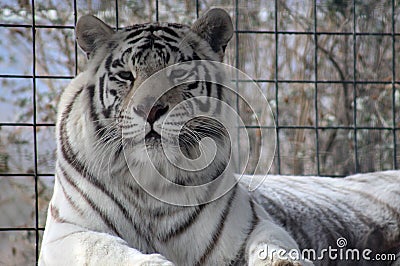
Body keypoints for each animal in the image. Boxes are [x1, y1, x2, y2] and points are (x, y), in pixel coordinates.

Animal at [38, 7, 400, 264]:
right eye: (126, 75)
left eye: (178, 73)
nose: (150, 110)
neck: (151, 182)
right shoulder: (68, 232)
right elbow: (109, 251)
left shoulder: (252, 226)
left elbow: (277, 253)